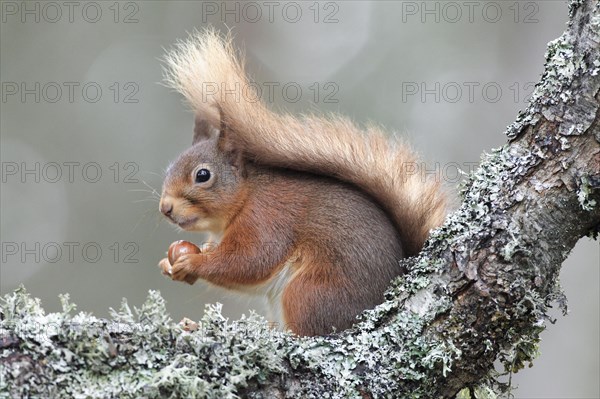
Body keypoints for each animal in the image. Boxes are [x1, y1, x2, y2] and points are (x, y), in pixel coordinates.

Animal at [157, 29, 448, 338]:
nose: (165, 208)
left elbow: (249, 261)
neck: (245, 196)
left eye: (202, 175)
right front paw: (170, 264)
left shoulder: (266, 219)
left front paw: (194, 262)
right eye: (169, 169)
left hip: (309, 292)